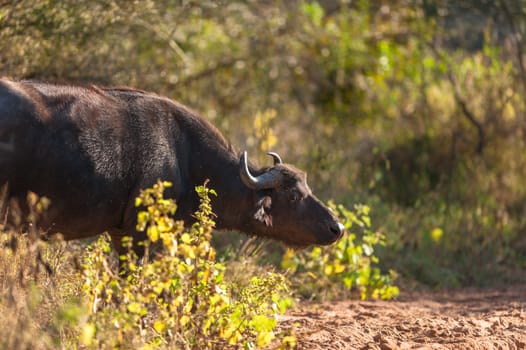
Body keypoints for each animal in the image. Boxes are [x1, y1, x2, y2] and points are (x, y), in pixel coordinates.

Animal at [0, 78, 344, 254]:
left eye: (308, 187)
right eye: (293, 196)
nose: (337, 228)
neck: (184, 156)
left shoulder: (119, 233)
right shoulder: (141, 233)